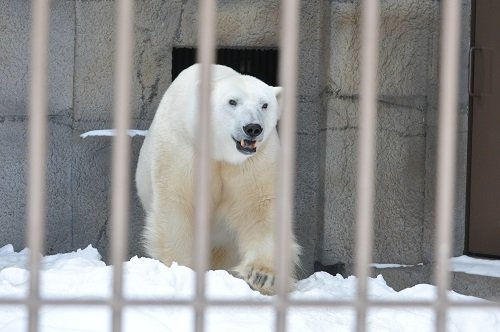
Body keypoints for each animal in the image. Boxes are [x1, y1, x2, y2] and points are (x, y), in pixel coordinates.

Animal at [135, 63, 298, 294]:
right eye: (232, 101)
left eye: (265, 104)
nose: (253, 128)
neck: (220, 152)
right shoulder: (183, 148)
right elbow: (178, 204)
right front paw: (181, 268)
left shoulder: (256, 161)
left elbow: (260, 207)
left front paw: (262, 276)